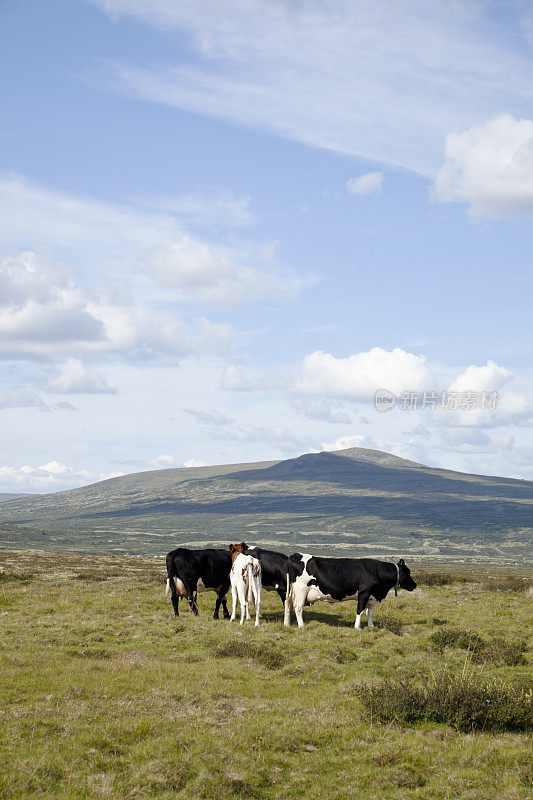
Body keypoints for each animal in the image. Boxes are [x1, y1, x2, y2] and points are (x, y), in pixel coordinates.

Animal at [282, 552, 416, 628]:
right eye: (408, 573)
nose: (415, 585)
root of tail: (295, 555)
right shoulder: (364, 592)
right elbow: (360, 611)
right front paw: (357, 627)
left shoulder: (372, 596)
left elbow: (369, 613)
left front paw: (371, 627)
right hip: (301, 589)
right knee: (298, 607)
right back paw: (301, 625)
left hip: (291, 591)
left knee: (288, 604)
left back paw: (287, 624)